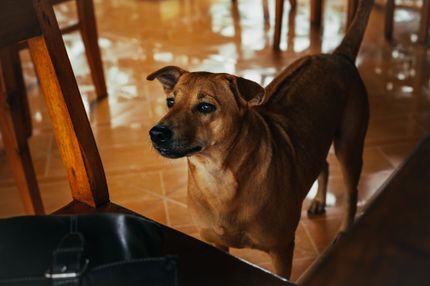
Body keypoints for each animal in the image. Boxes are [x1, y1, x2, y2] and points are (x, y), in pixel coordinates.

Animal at [147, 0, 372, 278]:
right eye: (170, 102)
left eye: (206, 107)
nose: (156, 133)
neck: (218, 178)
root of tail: (338, 55)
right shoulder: (216, 244)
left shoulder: (281, 250)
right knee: (324, 164)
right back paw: (319, 201)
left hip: (349, 145)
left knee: (351, 192)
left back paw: (345, 232)